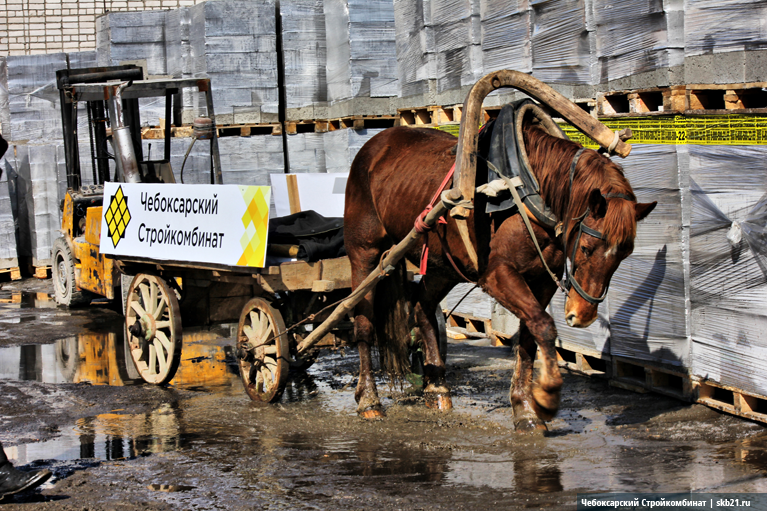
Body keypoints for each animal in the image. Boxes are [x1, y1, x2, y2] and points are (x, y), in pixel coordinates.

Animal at [344, 118, 656, 430]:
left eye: (625, 254)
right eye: (588, 248)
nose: (583, 316)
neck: (529, 191)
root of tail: (376, 143)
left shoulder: (543, 280)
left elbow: (531, 334)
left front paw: (525, 407)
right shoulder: (497, 275)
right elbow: (544, 326)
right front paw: (546, 395)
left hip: (443, 265)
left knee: (422, 307)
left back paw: (436, 387)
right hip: (364, 253)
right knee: (362, 321)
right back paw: (368, 399)